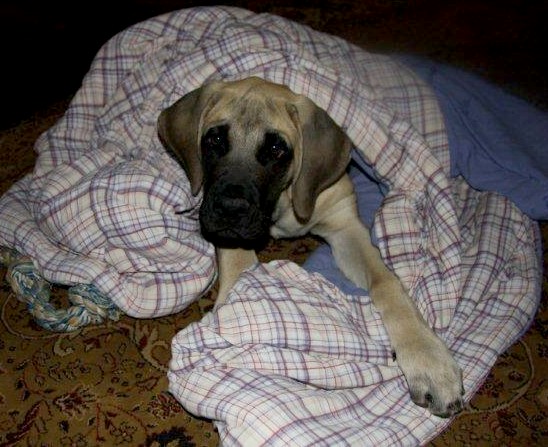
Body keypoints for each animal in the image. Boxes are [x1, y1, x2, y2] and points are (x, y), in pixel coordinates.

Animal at [157, 76, 462, 416]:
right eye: (214, 139)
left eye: (276, 149)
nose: (229, 209)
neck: (283, 204)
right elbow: (244, 274)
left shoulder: (345, 226)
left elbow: (387, 282)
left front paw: (428, 356)